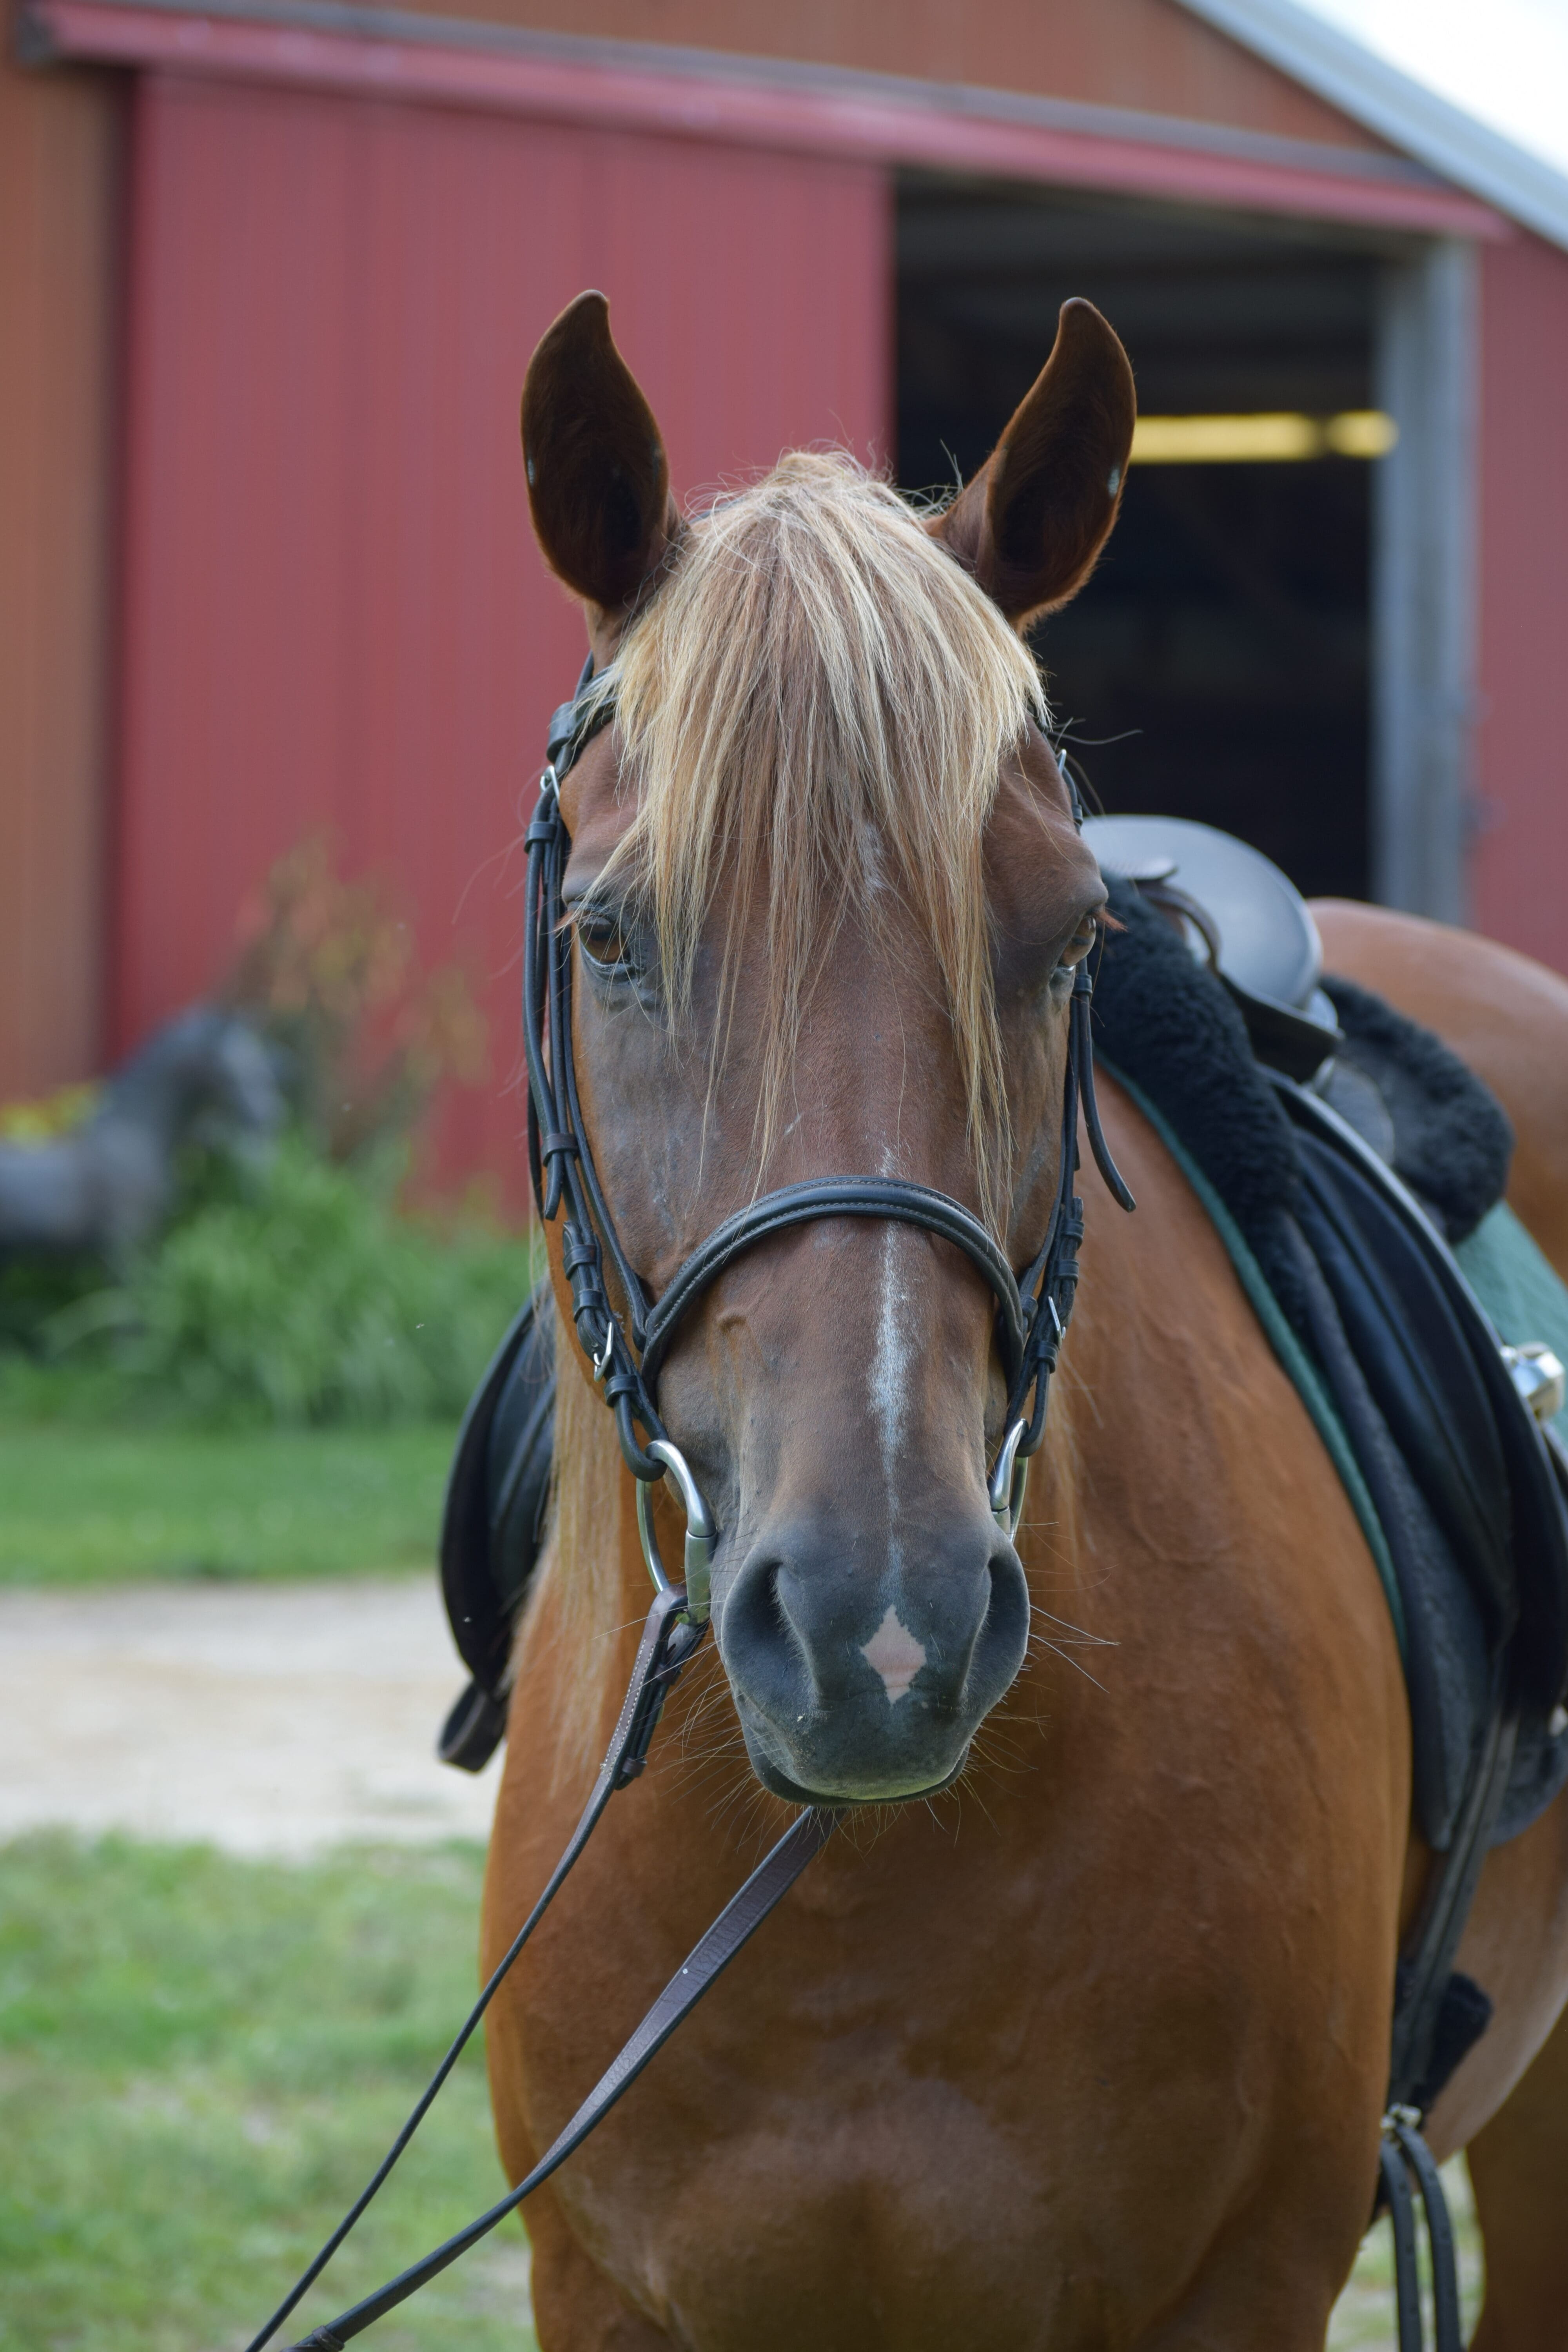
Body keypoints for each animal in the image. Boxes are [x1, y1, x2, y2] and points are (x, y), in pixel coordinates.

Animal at [484, 299, 1568, 2352]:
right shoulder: (601, 2290)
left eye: (1070, 940)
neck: (840, 1894)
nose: (877, 1625)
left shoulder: (1241, 2285)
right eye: (609, 935)